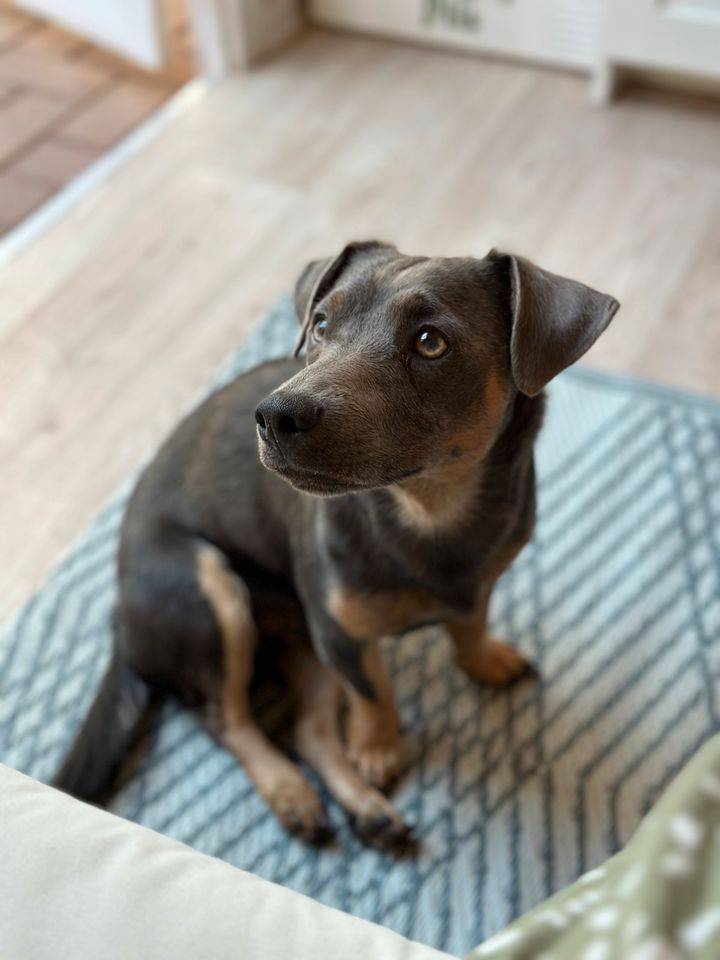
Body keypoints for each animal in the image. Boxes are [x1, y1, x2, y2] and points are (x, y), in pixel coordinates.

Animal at [54, 242, 620, 848]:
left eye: (431, 341)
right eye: (321, 324)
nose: (275, 415)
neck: (431, 514)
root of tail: (118, 617)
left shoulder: (476, 584)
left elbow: (469, 625)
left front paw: (484, 659)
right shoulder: (339, 634)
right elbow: (374, 693)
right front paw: (378, 750)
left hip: (299, 641)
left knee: (305, 730)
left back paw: (367, 812)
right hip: (212, 593)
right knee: (230, 721)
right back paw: (293, 792)